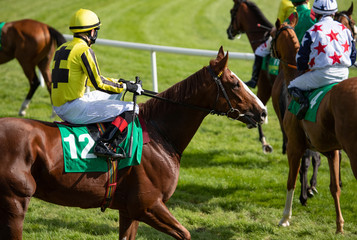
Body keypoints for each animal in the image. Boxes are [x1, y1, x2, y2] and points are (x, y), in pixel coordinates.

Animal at [0, 47, 266, 240]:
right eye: (235, 83)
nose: (262, 111)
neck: (160, 135)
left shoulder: (129, 210)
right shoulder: (147, 205)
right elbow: (185, 234)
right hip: (15, 201)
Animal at [270, 19, 356, 234]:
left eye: (272, 34)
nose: (267, 49)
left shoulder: (295, 145)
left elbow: (291, 180)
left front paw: (285, 218)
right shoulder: (331, 150)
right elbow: (335, 188)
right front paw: (339, 226)